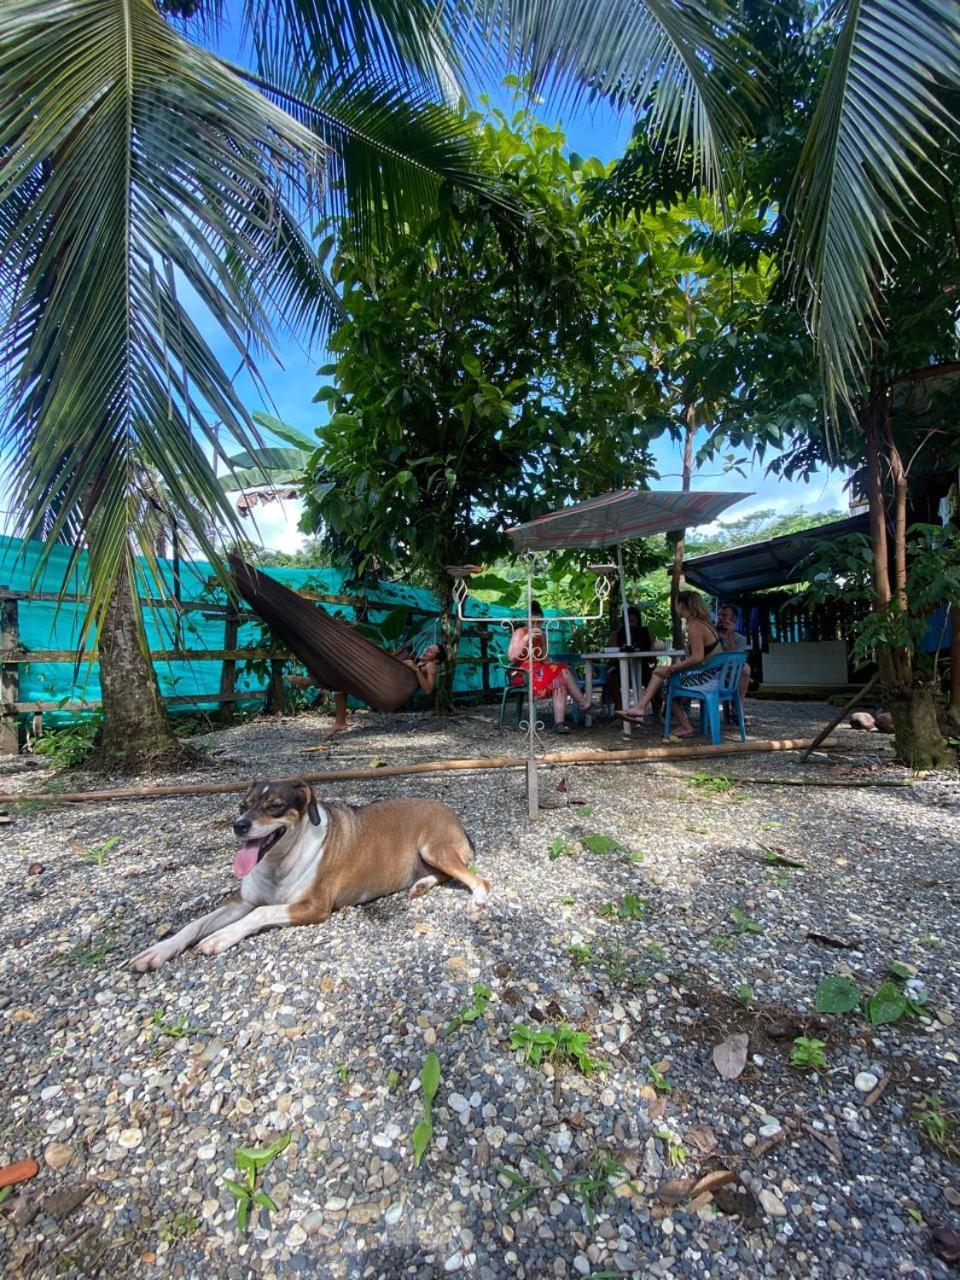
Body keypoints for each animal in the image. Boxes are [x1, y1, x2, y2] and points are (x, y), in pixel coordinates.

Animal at [129, 778, 488, 967]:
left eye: (274, 806)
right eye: (242, 805)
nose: (239, 826)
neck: (278, 862)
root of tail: (452, 813)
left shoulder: (313, 907)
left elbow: (260, 913)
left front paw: (221, 937)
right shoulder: (240, 901)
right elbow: (195, 923)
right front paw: (159, 950)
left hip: (434, 849)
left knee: (479, 880)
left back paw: (476, 903)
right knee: (445, 875)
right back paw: (422, 884)